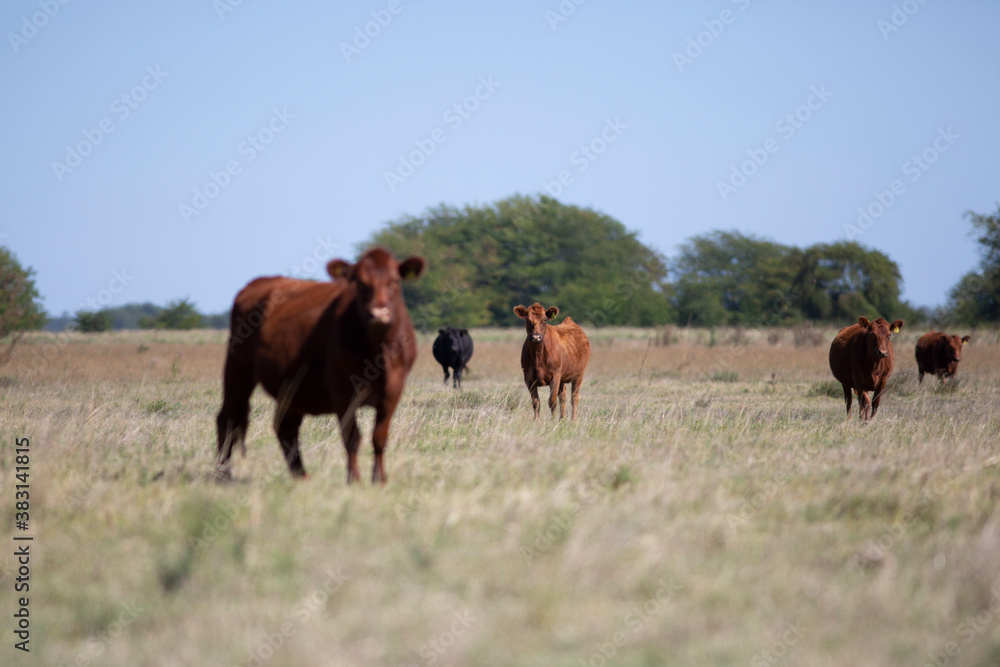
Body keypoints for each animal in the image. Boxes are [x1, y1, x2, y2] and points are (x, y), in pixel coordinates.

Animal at [217, 245, 424, 486]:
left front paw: (379, 479)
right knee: (228, 419)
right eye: (360, 283)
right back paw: (222, 474)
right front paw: (354, 479)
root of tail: (259, 282)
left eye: (394, 281)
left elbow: (379, 437)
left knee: (285, 428)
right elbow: (352, 437)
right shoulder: (342, 389)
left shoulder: (393, 390)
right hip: (237, 369)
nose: (378, 313)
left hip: (293, 387)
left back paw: (301, 476)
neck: (379, 353)